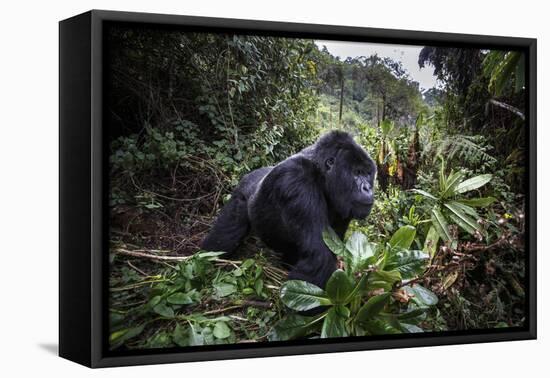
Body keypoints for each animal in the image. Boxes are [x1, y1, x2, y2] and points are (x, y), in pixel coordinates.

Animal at [203, 131, 380, 288]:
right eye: (357, 173)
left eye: (367, 173)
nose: (368, 188)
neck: (321, 174)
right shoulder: (296, 181)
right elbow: (319, 257)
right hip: (241, 193)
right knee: (226, 235)